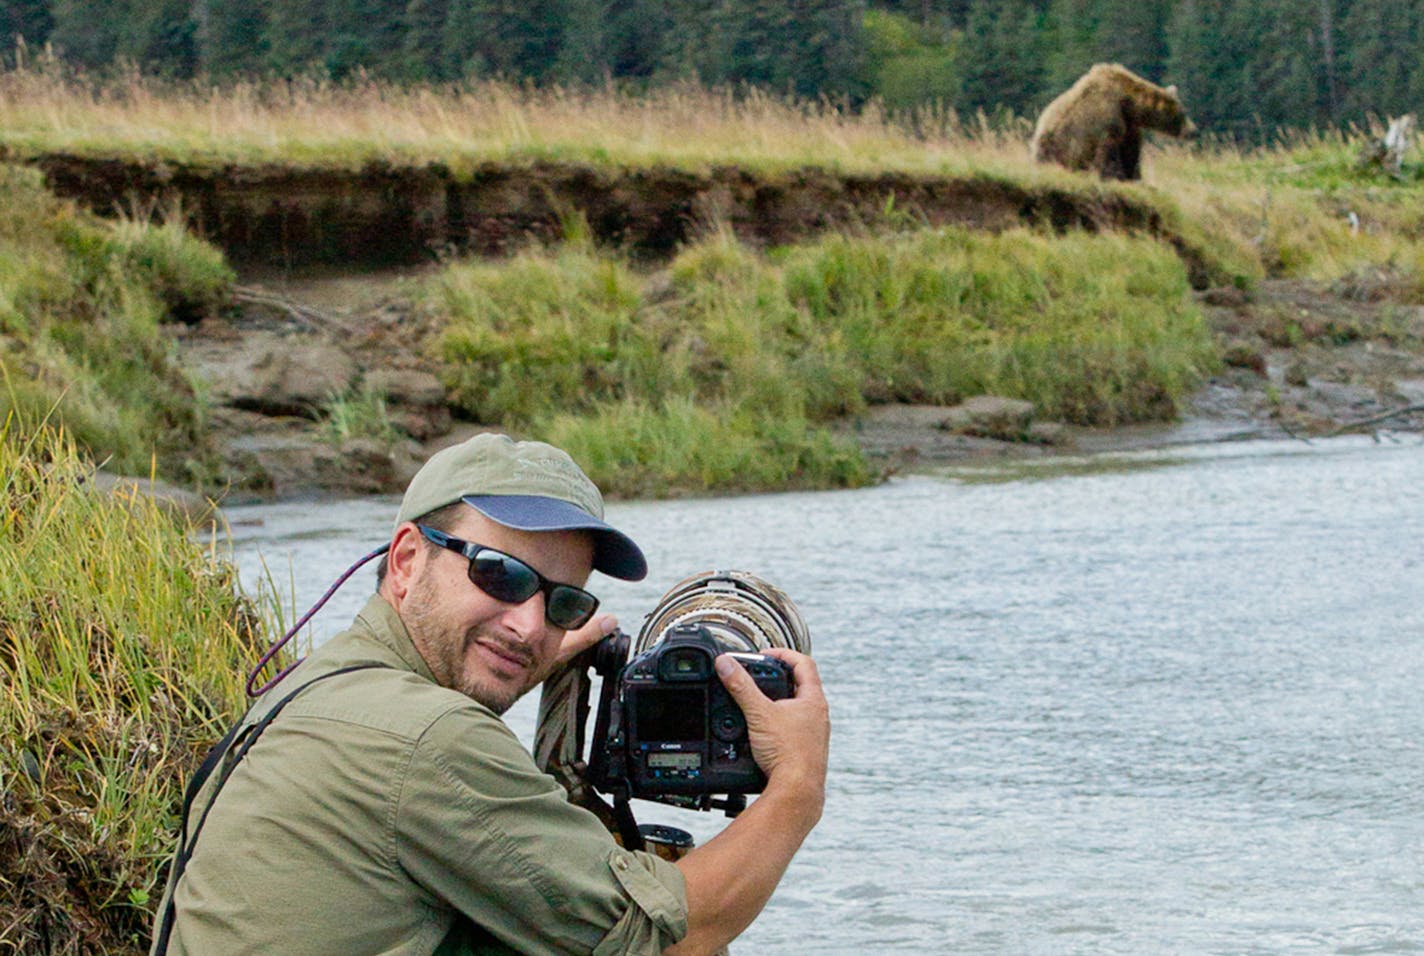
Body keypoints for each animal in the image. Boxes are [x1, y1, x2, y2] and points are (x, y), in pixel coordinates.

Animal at [1030, 64, 1196, 183]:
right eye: (1183, 113)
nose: (1193, 131)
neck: (1129, 103)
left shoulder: (1129, 124)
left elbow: (1131, 151)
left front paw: (1133, 176)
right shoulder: (1108, 120)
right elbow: (1109, 152)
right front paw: (1113, 175)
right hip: (1059, 148)